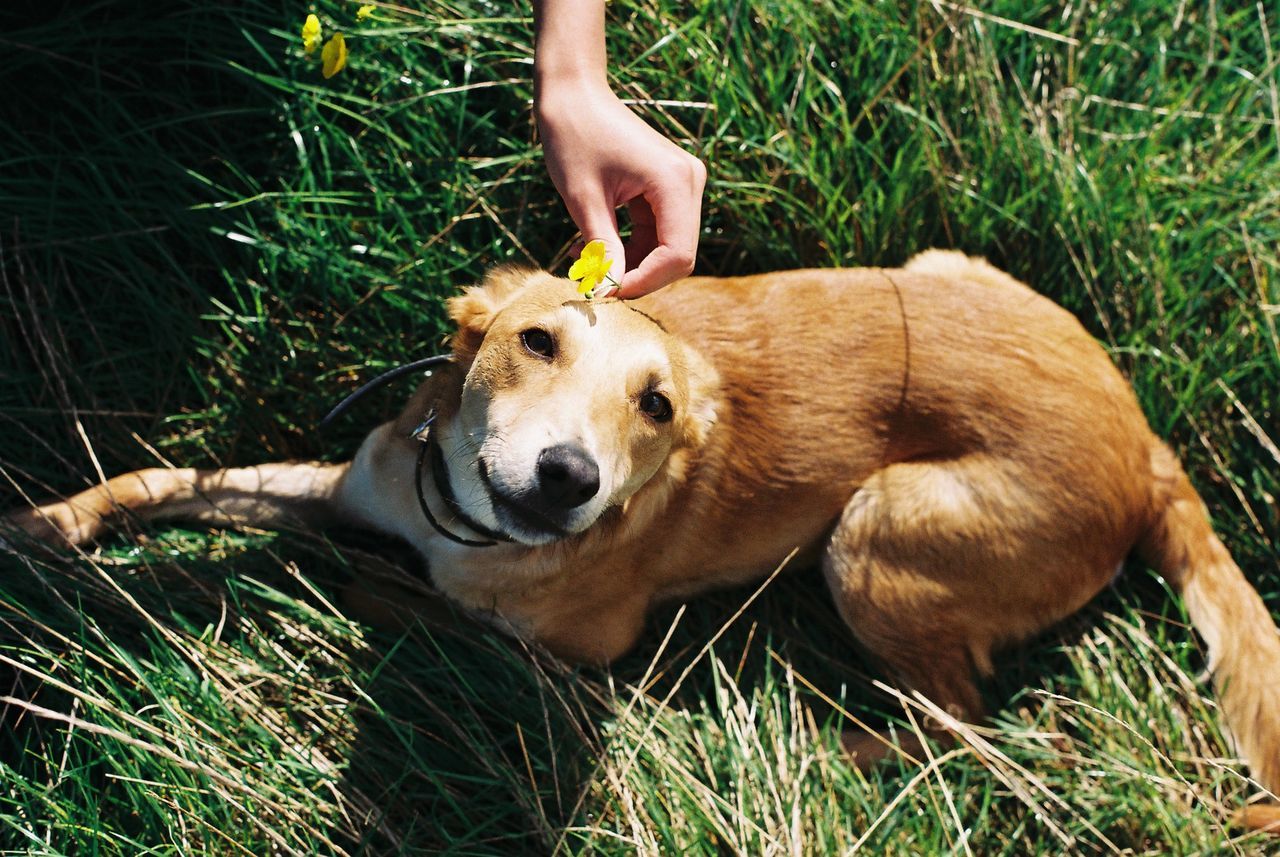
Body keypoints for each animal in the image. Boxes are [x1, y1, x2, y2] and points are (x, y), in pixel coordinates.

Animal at [10, 251, 1280, 828]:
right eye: (534, 340)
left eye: (656, 405)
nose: (567, 477)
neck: (455, 517)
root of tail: (1144, 445)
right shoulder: (346, 483)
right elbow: (169, 479)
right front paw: (49, 527)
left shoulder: (573, 655)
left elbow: (410, 600)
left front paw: (350, 591)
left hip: (872, 531)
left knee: (960, 715)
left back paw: (833, 744)